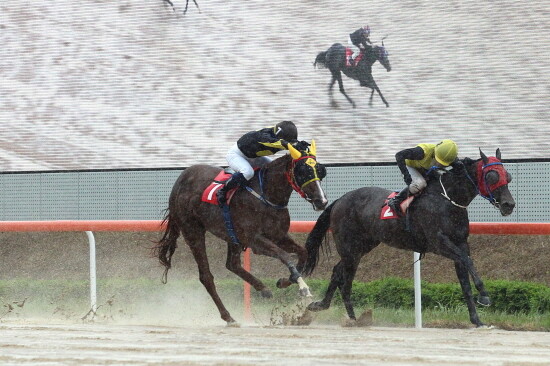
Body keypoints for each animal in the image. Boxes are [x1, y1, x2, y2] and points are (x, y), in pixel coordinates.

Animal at [153, 142, 328, 324]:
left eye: (320, 171)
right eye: (303, 171)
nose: (322, 202)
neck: (266, 195)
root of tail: (179, 181)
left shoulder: (278, 236)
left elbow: (303, 252)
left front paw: (285, 281)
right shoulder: (254, 239)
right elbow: (284, 255)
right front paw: (304, 289)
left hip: (232, 236)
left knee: (232, 264)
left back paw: (263, 289)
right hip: (193, 231)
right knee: (206, 276)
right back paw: (228, 316)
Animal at [302, 150, 516, 328]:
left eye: (508, 176)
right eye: (491, 176)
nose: (509, 205)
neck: (448, 200)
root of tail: (340, 200)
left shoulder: (461, 243)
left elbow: (465, 281)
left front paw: (477, 320)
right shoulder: (439, 243)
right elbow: (468, 261)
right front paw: (485, 296)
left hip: (362, 246)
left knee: (338, 272)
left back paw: (335, 311)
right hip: (349, 248)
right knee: (343, 278)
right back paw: (347, 316)